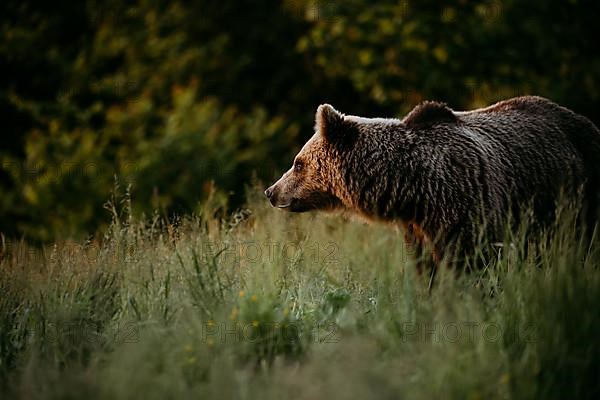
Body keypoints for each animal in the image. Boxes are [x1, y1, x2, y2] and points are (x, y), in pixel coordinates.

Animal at [266, 97, 600, 262]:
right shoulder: (418, 229)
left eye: (298, 163)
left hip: (574, 195)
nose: (271, 191)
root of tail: (585, 121)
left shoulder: (467, 208)